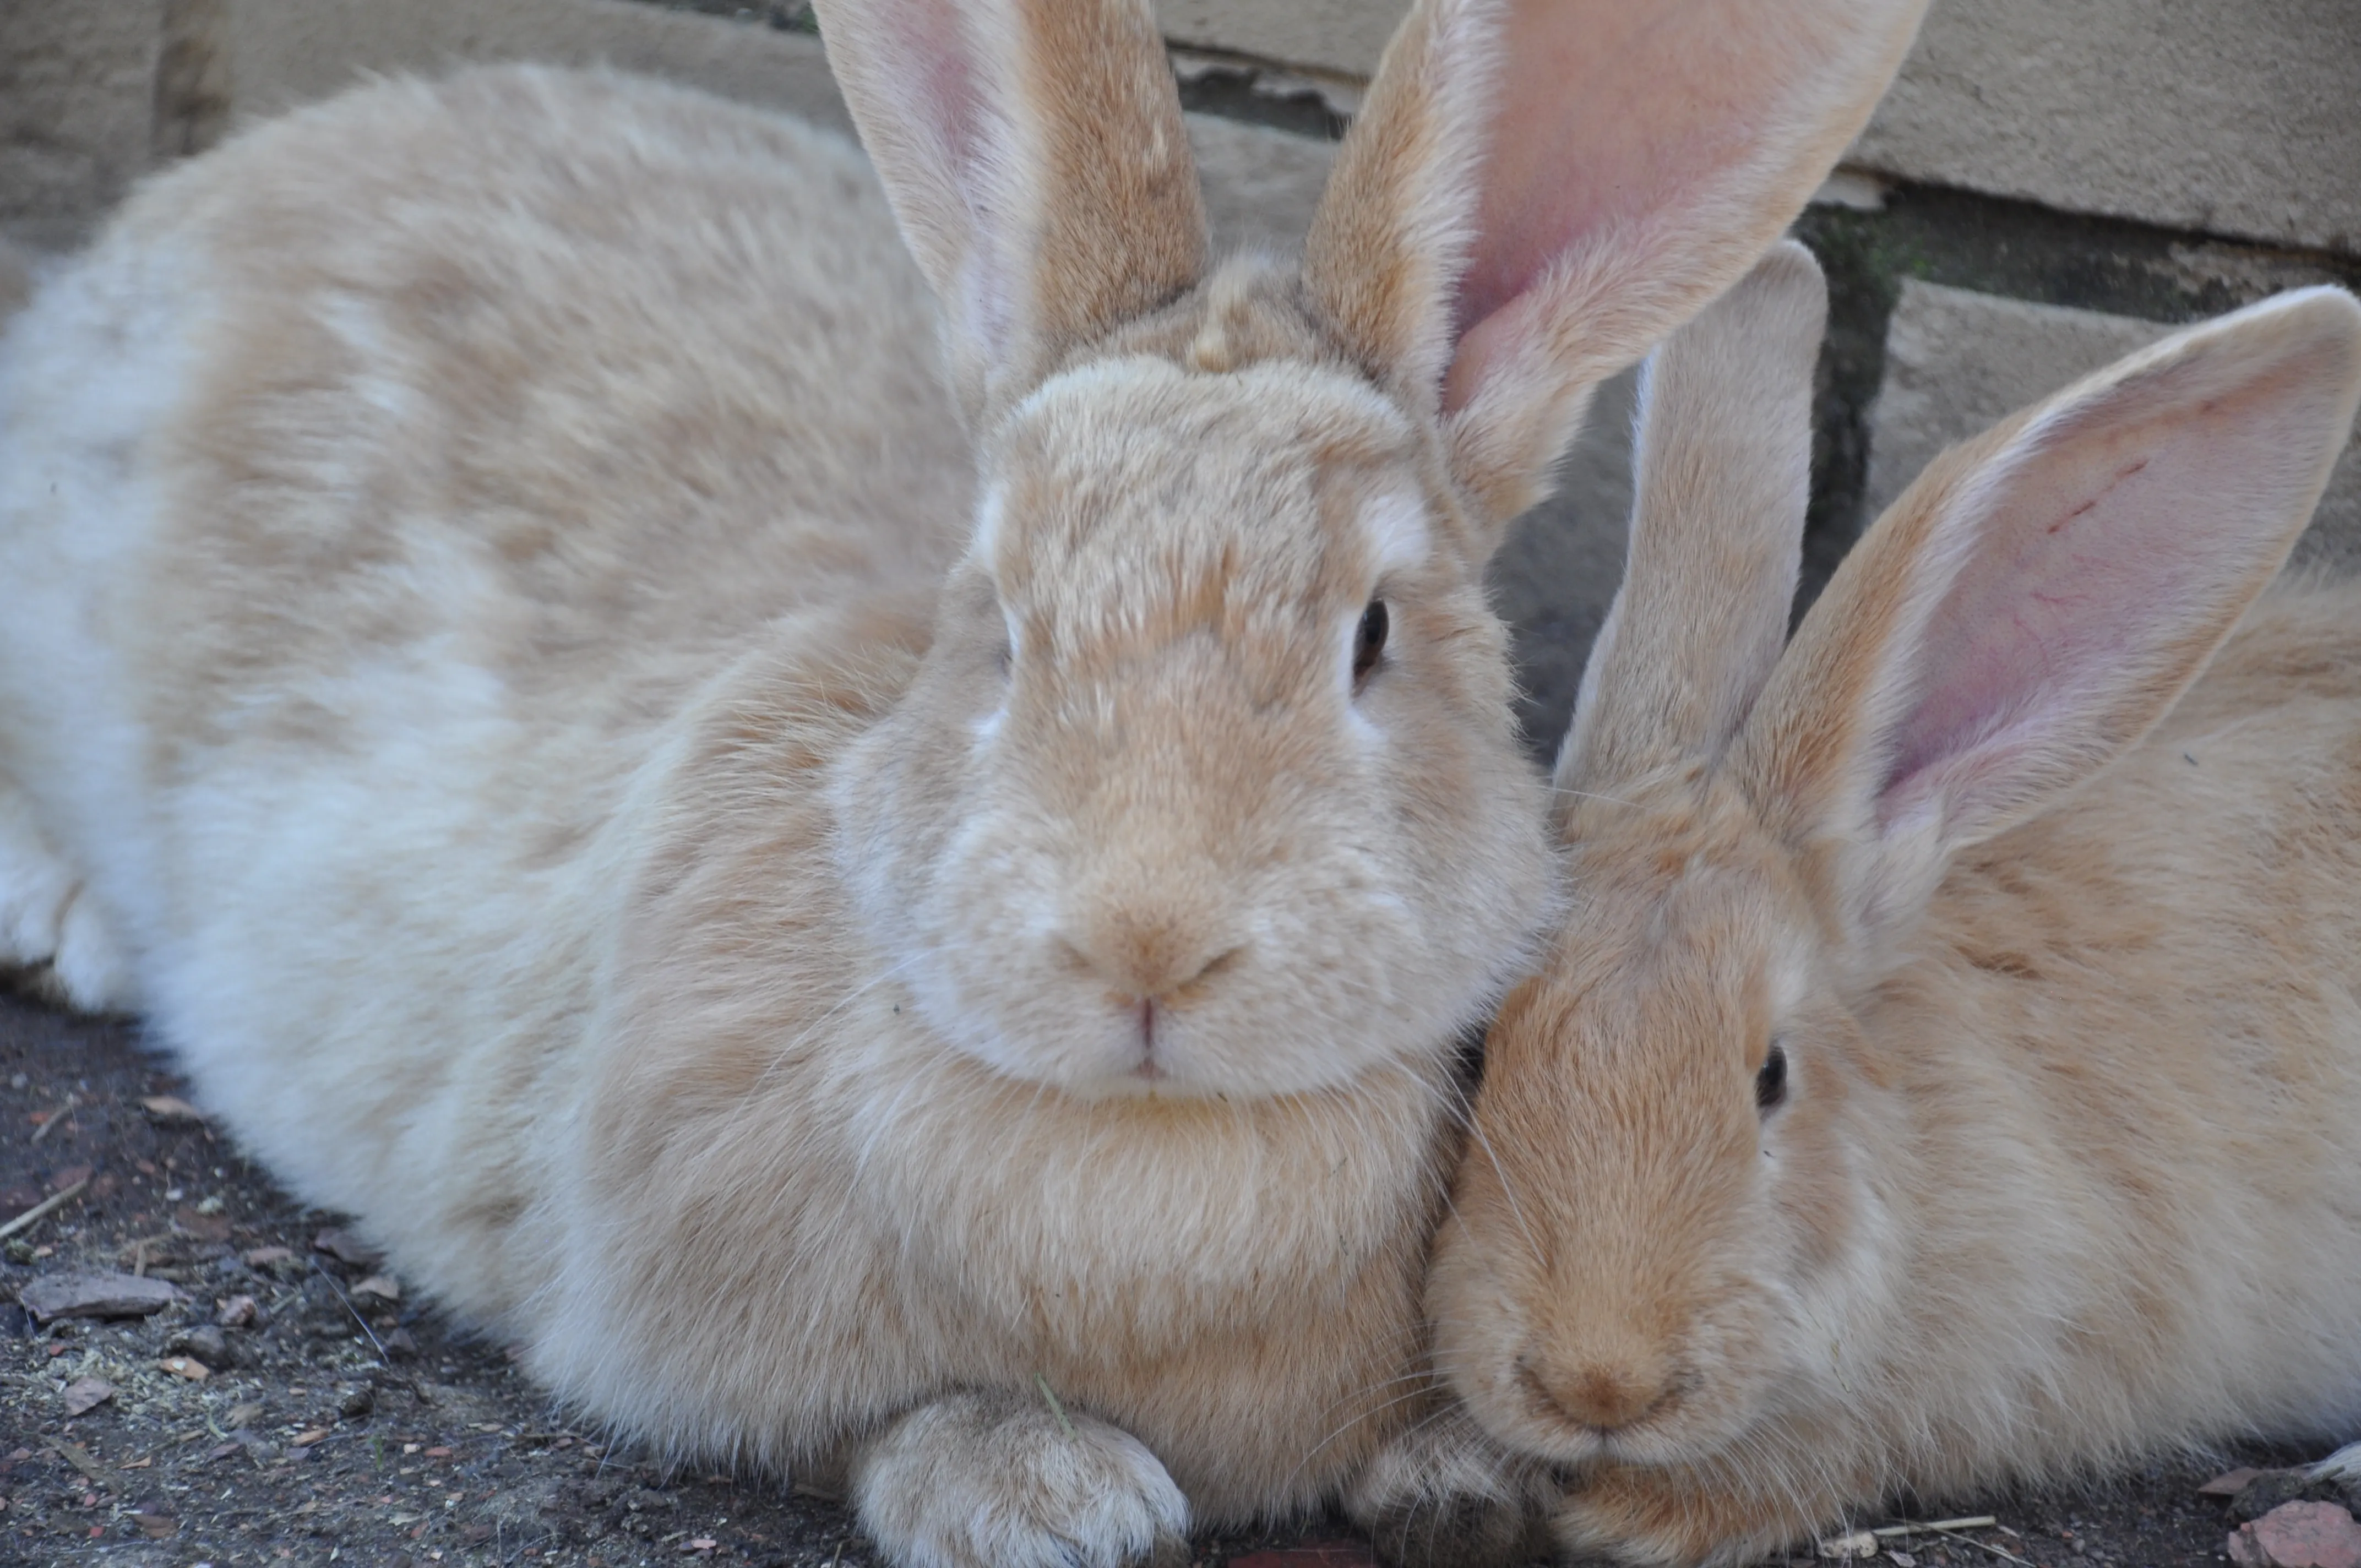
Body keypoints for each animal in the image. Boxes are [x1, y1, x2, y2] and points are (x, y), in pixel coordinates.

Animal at [0, 0, 1929, 1563]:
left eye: (1375, 638)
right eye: (995, 619)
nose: (1144, 943)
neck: (1147, 1154)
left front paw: (1458, 1477)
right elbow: (871, 1418)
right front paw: (1051, 1496)